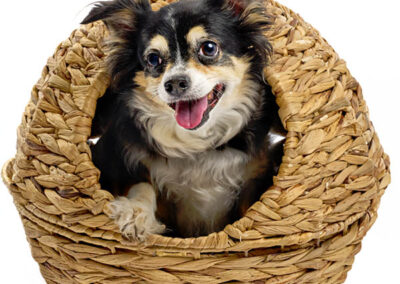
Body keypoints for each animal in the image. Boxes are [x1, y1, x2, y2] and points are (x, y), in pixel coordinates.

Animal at [81, 0, 284, 240]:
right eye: (153, 59)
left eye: (208, 48)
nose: (175, 83)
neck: (197, 141)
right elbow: (142, 186)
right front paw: (135, 214)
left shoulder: (256, 173)